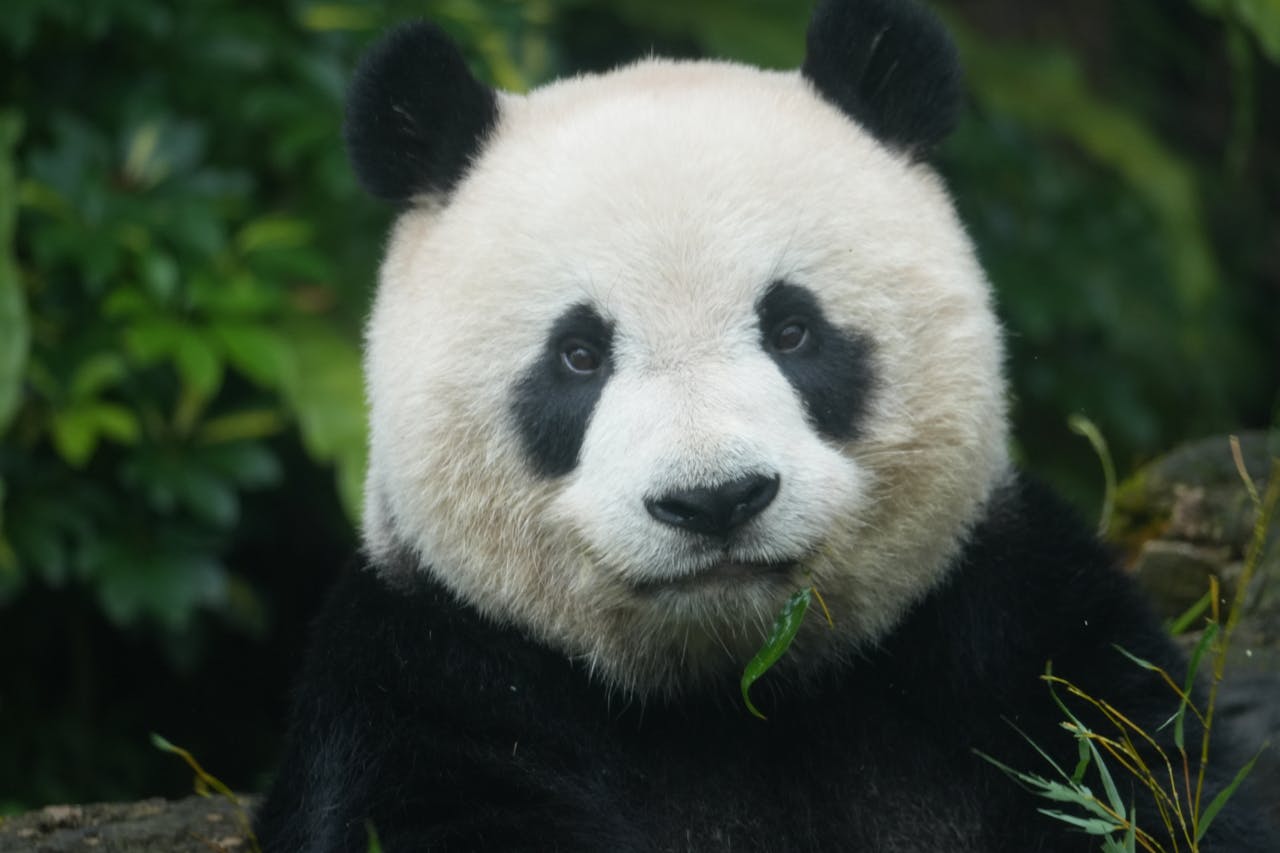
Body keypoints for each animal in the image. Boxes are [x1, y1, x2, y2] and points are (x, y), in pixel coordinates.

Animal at [255, 0, 1277, 850]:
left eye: (793, 330)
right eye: (578, 355)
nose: (714, 500)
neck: (733, 695)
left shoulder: (1017, 635)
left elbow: (1149, 780)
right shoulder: (431, 675)